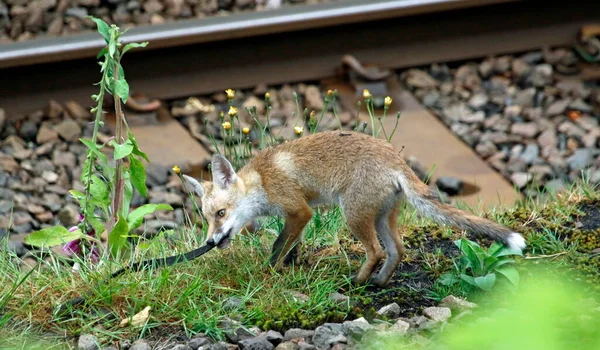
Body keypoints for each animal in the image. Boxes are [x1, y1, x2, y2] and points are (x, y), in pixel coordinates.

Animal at [183, 130, 524, 286]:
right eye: (206, 218)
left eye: (221, 213)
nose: (210, 241)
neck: (263, 181)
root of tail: (394, 158)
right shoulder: (296, 217)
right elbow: (292, 246)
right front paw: (291, 268)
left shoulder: (299, 210)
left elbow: (279, 245)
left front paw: (269, 273)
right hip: (383, 216)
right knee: (397, 250)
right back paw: (378, 282)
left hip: (354, 216)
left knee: (376, 251)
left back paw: (357, 282)